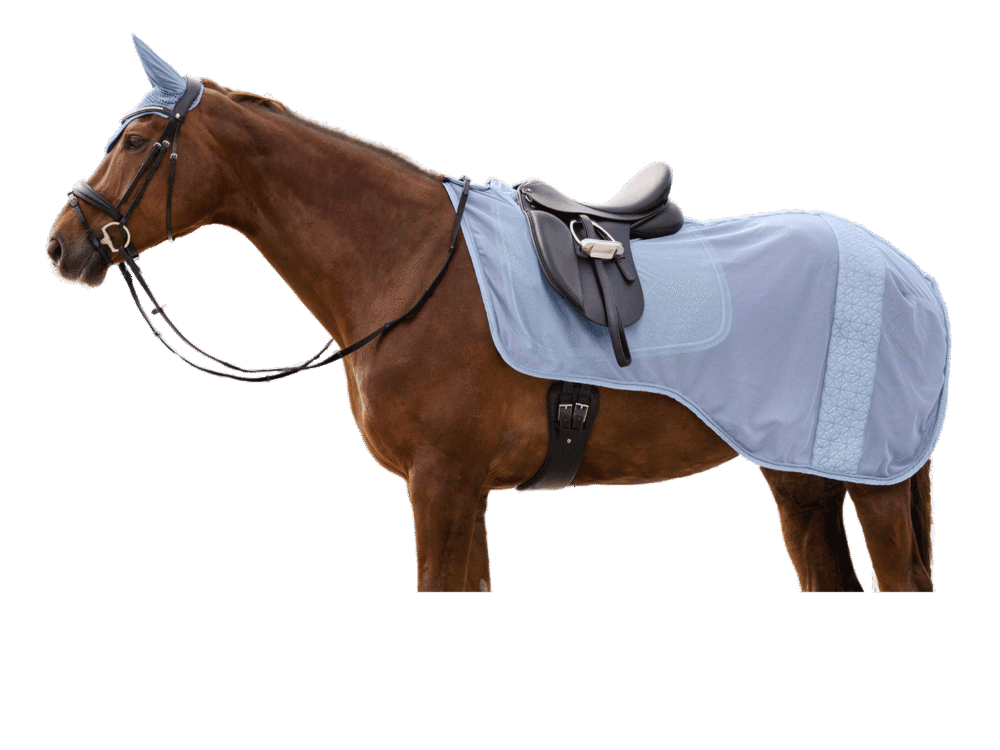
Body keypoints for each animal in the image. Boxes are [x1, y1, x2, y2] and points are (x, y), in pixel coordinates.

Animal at [46, 72, 935, 593]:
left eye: (134, 141)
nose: (63, 244)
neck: (412, 262)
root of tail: (908, 276)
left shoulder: (442, 483)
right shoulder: (458, 490)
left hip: (876, 485)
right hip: (802, 482)